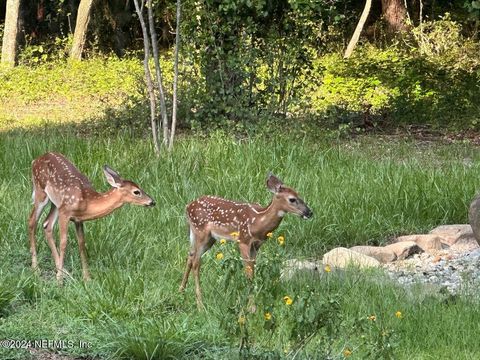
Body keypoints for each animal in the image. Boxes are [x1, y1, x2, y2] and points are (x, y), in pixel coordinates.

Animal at [27, 152, 156, 284]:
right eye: (136, 192)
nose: (152, 202)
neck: (86, 202)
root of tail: (35, 160)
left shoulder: (78, 219)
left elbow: (81, 244)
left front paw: (87, 278)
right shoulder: (65, 212)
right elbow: (63, 242)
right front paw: (59, 281)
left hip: (56, 203)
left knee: (47, 224)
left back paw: (64, 271)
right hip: (41, 191)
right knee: (32, 221)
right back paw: (36, 268)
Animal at [179, 173, 312, 308]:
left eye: (299, 195)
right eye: (292, 199)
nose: (309, 212)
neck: (258, 221)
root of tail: (188, 206)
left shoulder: (256, 245)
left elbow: (252, 270)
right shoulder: (243, 240)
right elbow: (249, 273)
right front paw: (251, 307)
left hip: (206, 237)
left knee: (190, 255)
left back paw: (181, 291)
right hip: (201, 232)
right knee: (196, 261)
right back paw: (200, 304)